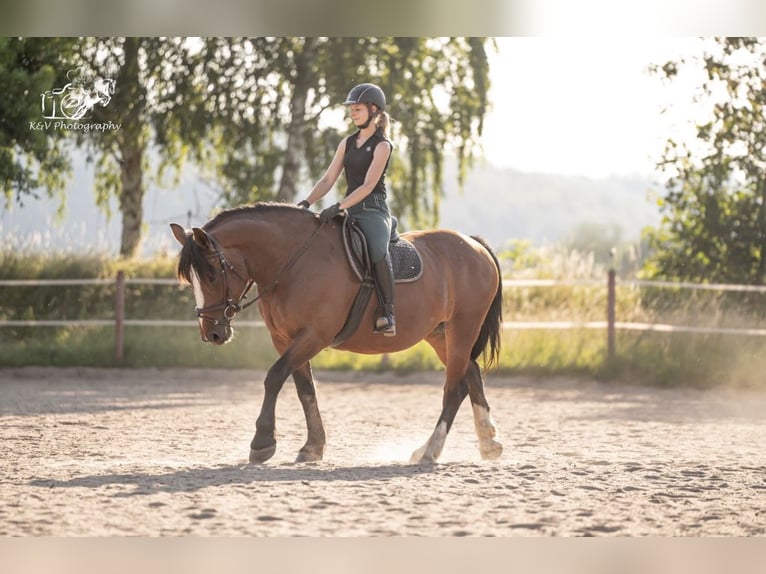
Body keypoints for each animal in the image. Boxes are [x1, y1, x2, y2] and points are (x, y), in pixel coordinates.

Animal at [170, 202, 504, 464]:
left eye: (211, 274)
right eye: (191, 278)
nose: (212, 333)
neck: (293, 261)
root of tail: (474, 245)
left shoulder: (314, 335)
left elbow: (274, 377)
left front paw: (263, 443)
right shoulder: (285, 339)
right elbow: (305, 389)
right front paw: (312, 447)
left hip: (462, 328)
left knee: (454, 388)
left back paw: (429, 450)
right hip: (440, 333)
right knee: (471, 374)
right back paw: (488, 442)